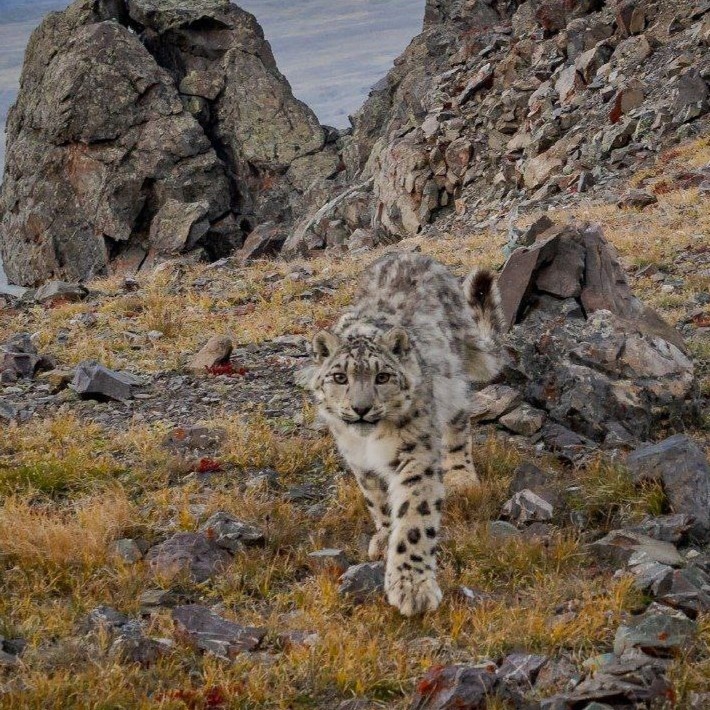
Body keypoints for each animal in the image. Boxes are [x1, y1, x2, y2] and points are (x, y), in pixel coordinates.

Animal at [308, 252, 504, 616]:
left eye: (382, 377)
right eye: (340, 377)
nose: (360, 408)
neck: (369, 442)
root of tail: (413, 253)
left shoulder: (416, 453)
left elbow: (414, 516)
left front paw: (412, 589)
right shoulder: (360, 462)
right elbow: (379, 502)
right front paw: (385, 537)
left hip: (453, 384)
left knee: (458, 425)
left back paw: (462, 477)